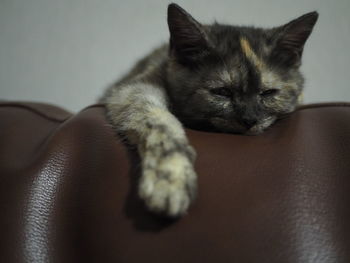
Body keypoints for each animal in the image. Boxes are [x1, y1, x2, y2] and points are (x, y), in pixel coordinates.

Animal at [99, 3, 318, 218]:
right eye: (222, 92)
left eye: (268, 92)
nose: (249, 119)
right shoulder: (132, 88)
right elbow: (159, 121)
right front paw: (170, 179)